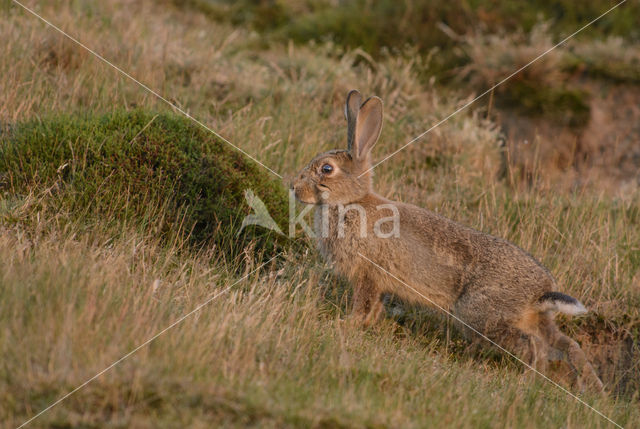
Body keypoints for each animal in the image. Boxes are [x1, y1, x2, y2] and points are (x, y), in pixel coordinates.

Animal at [292, 88, 604, 390]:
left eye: (326, 169)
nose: (294, 187)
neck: (350, 202)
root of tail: (540, 290)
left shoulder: (368, 274)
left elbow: (364, 305)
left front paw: (346, 324)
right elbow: (375, 307)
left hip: (479, 314)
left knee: (532, 345)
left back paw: (526, 381)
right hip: (533, 319)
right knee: (566, 344)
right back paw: (594, 388)